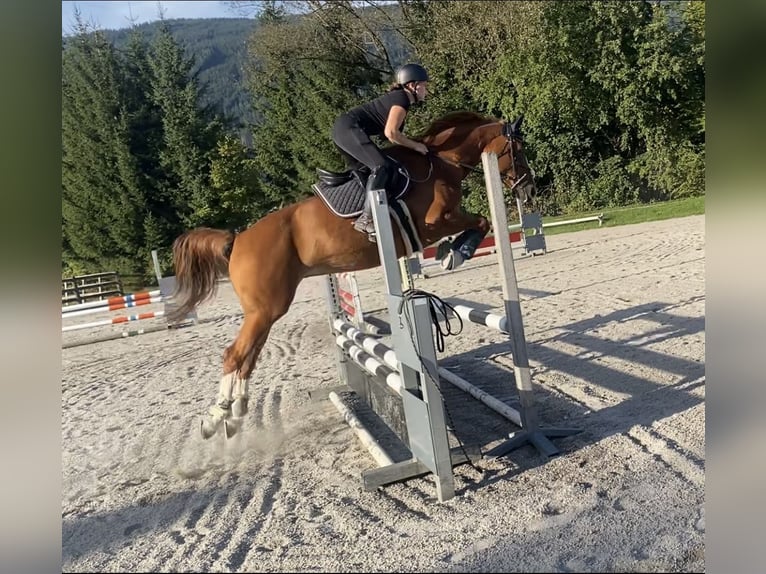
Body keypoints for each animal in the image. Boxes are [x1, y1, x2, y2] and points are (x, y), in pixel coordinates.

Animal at [169, 111, 536, 438]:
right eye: (518, 149)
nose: (528, 190)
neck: (442, 161)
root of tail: (237, 240)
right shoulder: (434, 222)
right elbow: (480, 221)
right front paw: (456, 253)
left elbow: (479, 222)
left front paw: (451, 252)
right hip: (265, 309)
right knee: (234, 355)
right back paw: (215, 420)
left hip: (265, 311)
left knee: (248, 359)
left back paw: (235, 415)